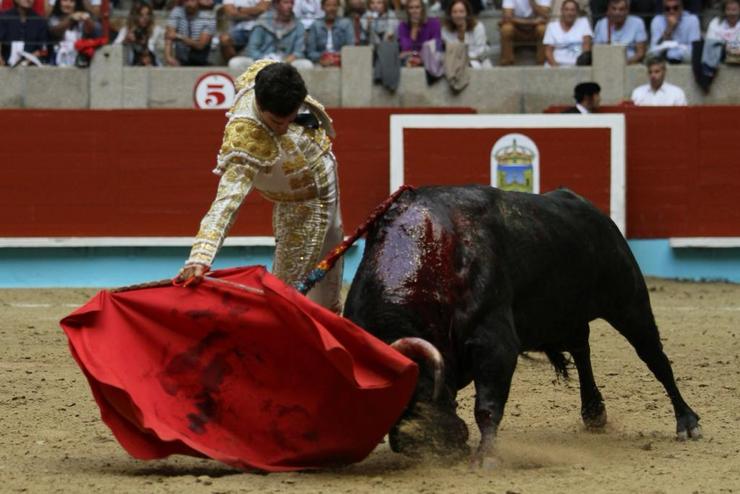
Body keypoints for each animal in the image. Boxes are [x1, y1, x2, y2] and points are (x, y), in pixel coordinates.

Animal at [344, 185, 704, 464]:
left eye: (416, 387)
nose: (417, 445)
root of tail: (594, 213)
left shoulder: (494, 342)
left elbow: (487, 406)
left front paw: (485, 457)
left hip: (629, 302)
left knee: (655, 358)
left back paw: (687, 423)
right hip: (566, 315)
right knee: (582, 349)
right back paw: (594, 413)